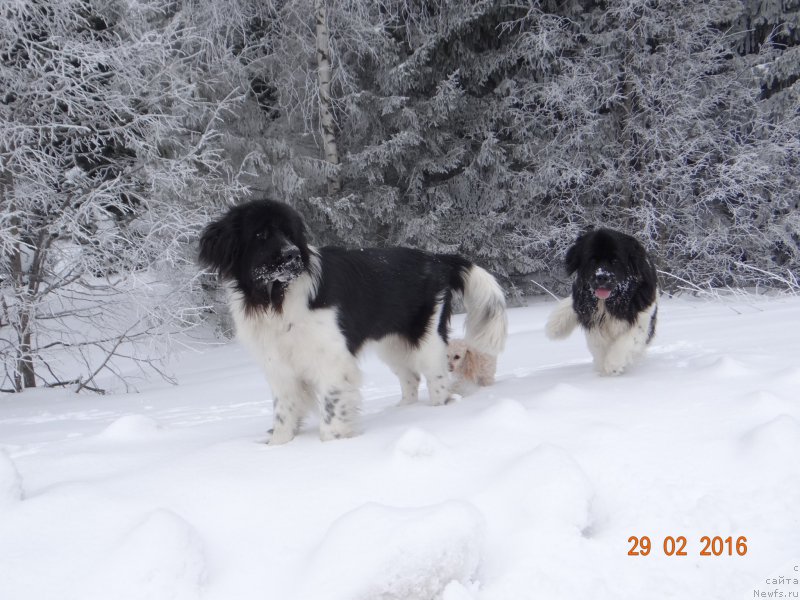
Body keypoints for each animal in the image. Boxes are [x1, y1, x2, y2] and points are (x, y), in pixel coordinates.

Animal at [198, 199, 506, 442]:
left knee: (436, 379)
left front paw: (334, 442)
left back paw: (438, 411)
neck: (276, 298)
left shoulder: (332, 359)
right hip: (393, 344)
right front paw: (278, 446)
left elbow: (332, 409)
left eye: (288, 232)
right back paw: (403, 410)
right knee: (410, 378)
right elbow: (284, 412)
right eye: (260, 234)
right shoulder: (279, 365)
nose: (292, 255)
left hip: (427, 339)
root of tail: (438, 258)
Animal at [548, 229, 660, 376]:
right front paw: (603, 368)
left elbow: (627, 339)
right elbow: (598, 345)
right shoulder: (592, 319)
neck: (610, 302)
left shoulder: (642, 315)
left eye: (615, 260)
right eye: (592, 260)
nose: (602, 276)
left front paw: (613, 364)